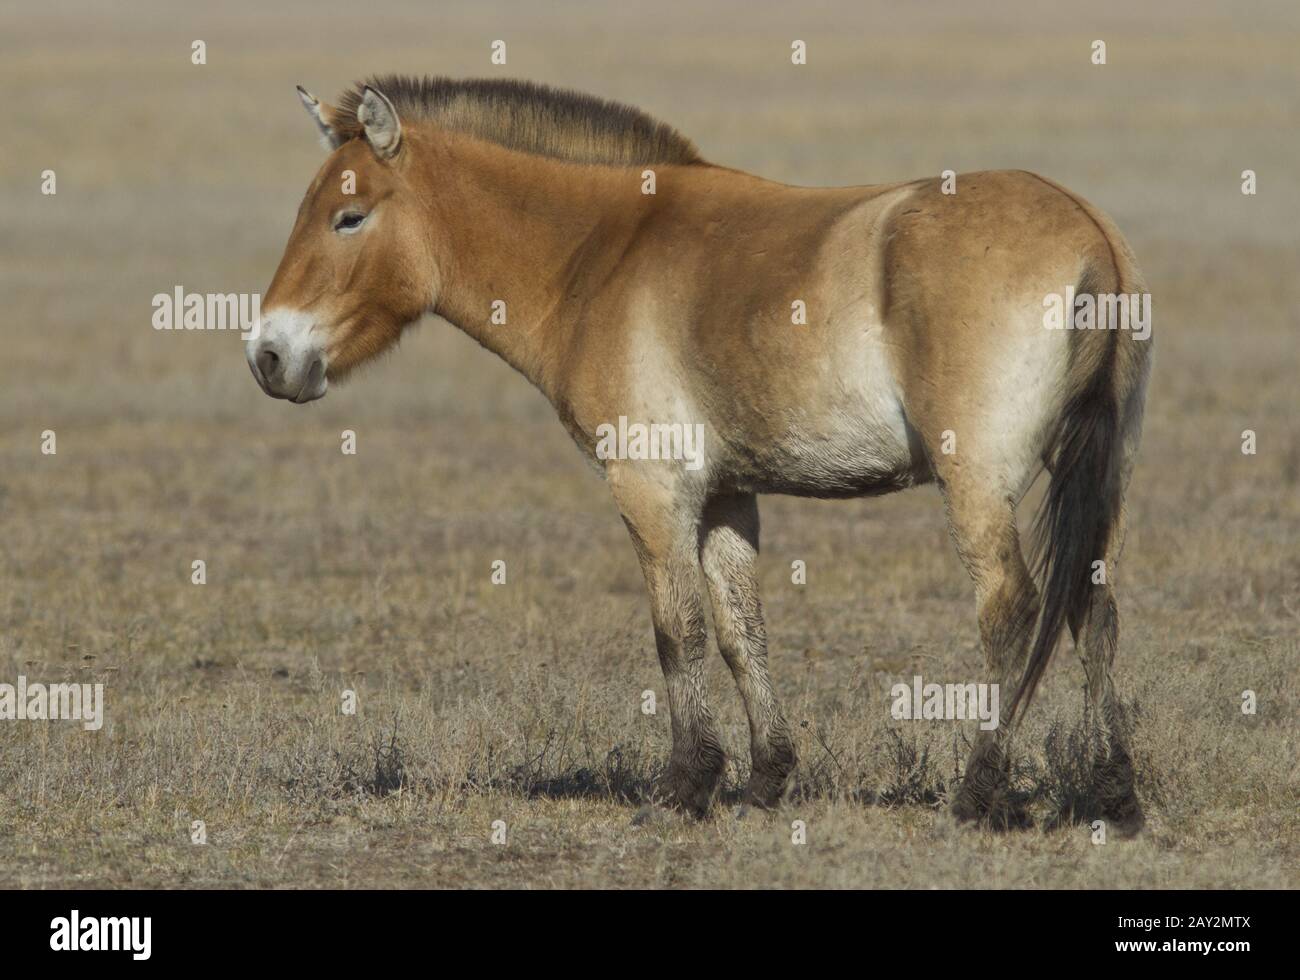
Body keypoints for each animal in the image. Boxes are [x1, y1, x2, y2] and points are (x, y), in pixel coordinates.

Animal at [250, 74, 1149, 831]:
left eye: (349, 217)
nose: (268, 356)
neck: (605, 253)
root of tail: (1089, 232)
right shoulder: (723, 497)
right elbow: (740, 632)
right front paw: (764, 779)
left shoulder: (651, 489)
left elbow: (675, 631)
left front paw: (685, 786)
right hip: (1095, 482)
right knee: (1093, 612)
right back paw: (1115, 794)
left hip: (976, 485)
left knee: (1011, 610)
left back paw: (977, 793)